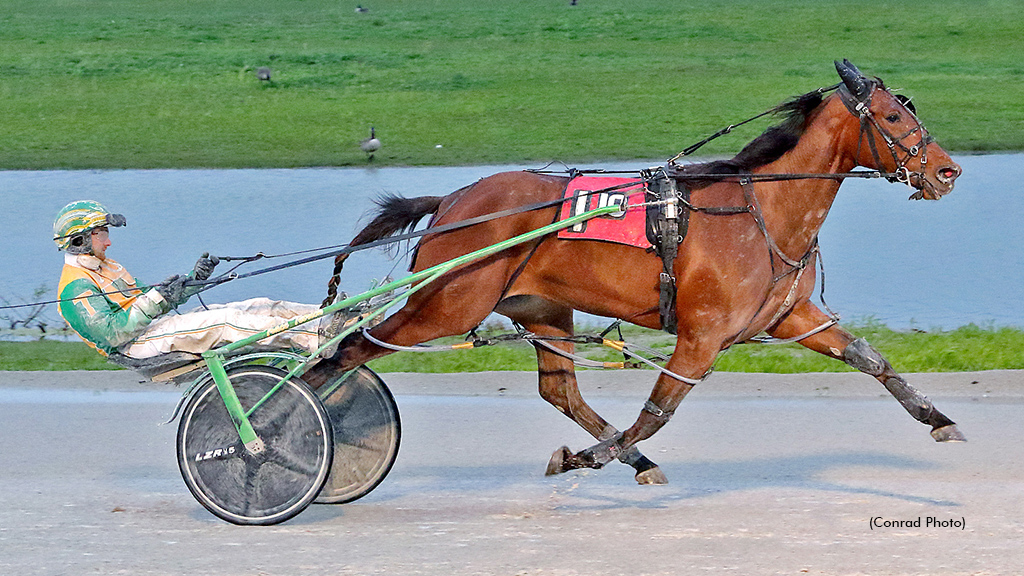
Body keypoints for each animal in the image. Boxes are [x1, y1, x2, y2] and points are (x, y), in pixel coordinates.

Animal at [307, 61, 962, 483]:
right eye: (892, 118)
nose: (948, 171)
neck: (761, 211)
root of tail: (451, 201)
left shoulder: (791, 316)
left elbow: (870, 358)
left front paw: (939, 420)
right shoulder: (701, 337)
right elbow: (656, 413)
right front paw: (588, 458)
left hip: (540, 308)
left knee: (559, 390)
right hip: (445, 305)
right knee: (347, 353)